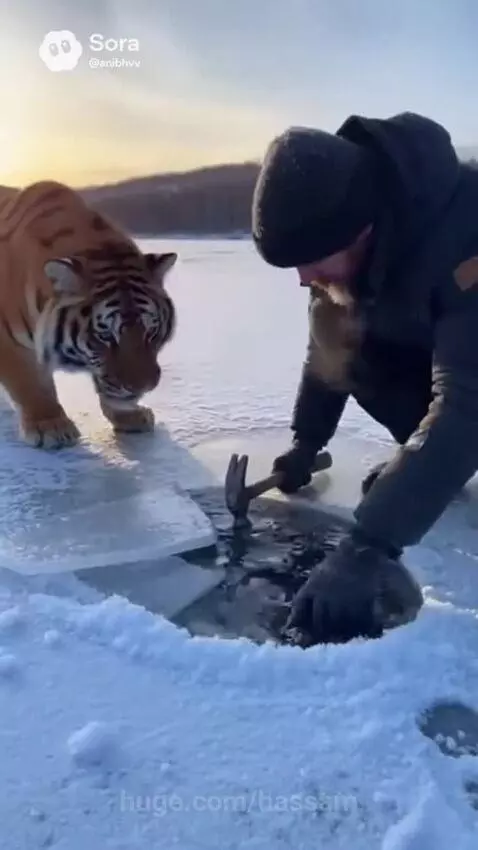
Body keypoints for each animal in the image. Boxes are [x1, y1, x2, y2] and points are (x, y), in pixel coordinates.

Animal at [0, 179, 177, 449]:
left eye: (152, 331)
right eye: (105, 336)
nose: (142, 387)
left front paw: (129, 415)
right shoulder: (10, 343)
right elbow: (31, 383)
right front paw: (50, 426)